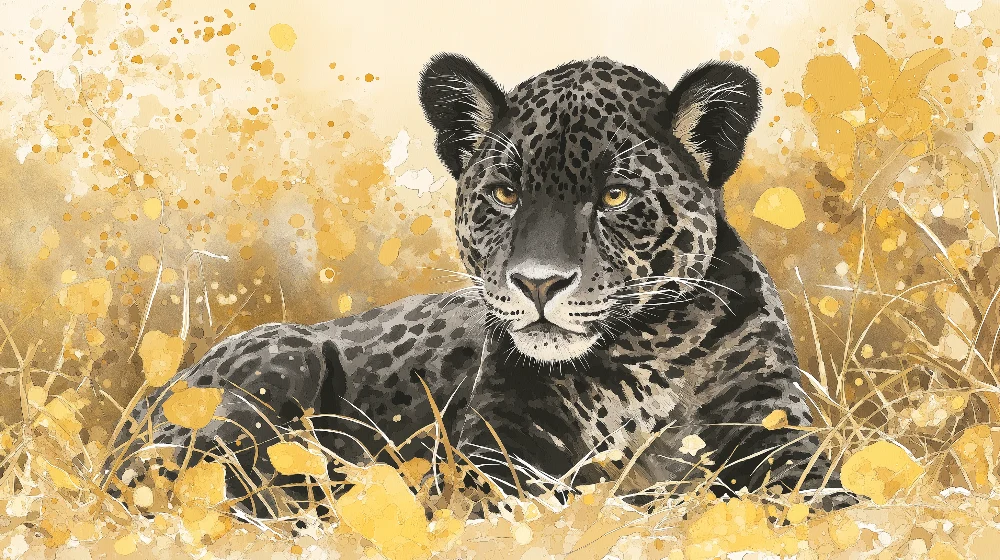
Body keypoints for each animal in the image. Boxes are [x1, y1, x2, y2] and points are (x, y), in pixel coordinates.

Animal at [104, 53, 854, 517]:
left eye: (614, 196)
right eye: (504, 192)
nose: (538, 284)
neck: (645, 349)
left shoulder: (774, 429)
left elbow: (826, 504)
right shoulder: (501, 456)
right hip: (279, 360)